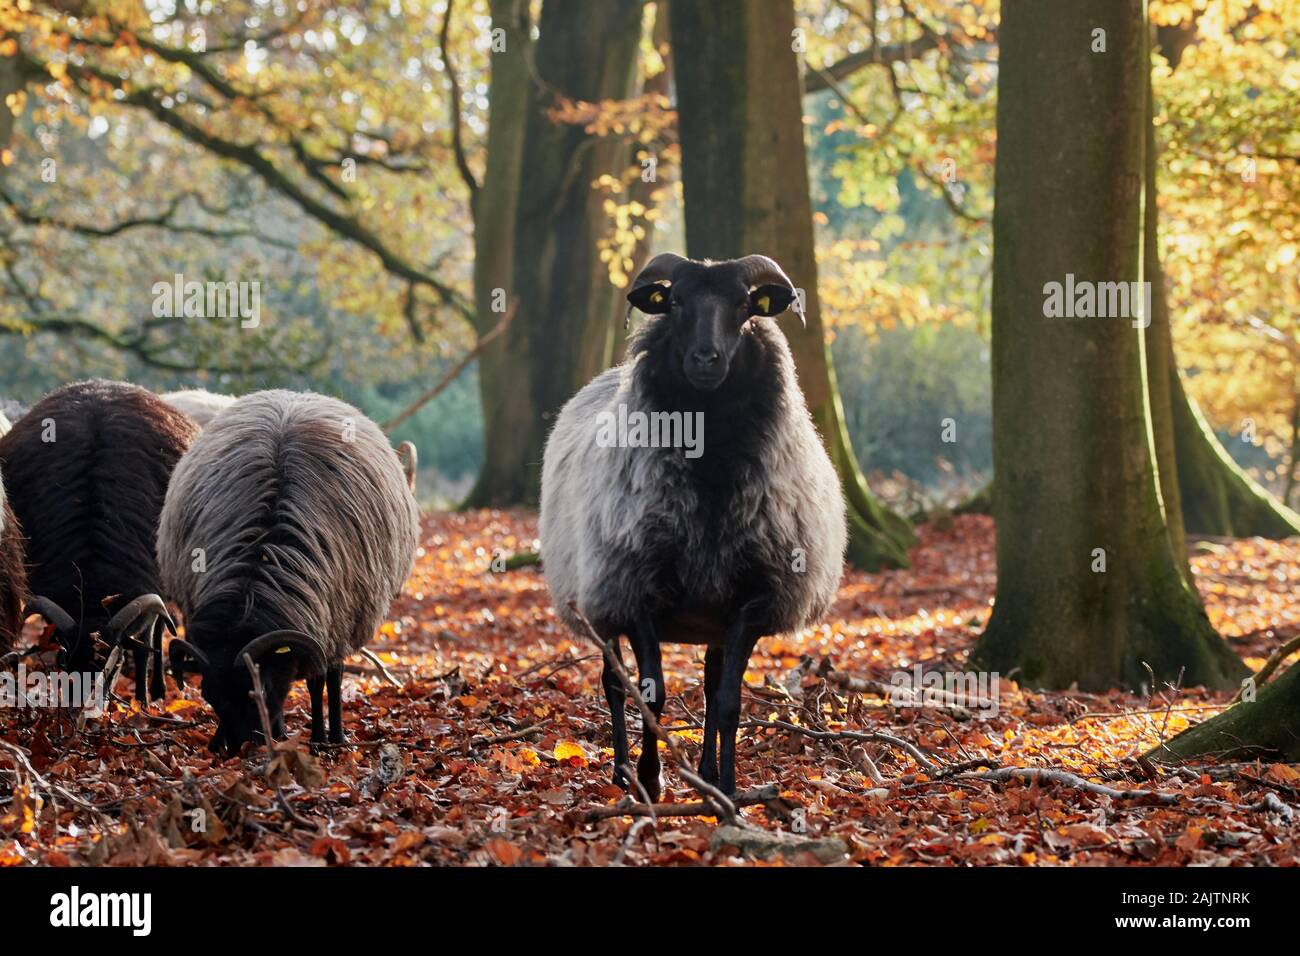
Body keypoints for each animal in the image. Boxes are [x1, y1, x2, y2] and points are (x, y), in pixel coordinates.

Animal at [0, 382, 197, 702]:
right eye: (67, 658)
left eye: (111, 663)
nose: (82, 704)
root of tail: (105, 385)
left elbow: (144, 644)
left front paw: (142, 701)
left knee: (157, 633)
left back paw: (156, 690)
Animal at [159, 392, 418, 749]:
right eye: (208, 694)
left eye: (261, 690)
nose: (237, 748)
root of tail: (298, 395)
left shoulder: (333, 620)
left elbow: (322, 680)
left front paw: (326, 738)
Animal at [535, 251, 842, 796]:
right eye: (675, 301)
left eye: (744, 305)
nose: (705, 359)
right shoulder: (635, 595)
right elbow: (650, 695)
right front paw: (651, 780)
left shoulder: (749, 605)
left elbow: (727, 701)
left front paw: (727, 787)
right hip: (598, 598)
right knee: (613, 685)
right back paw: (621, 772)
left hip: (709, 617)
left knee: (708, 684)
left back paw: (704, 774)